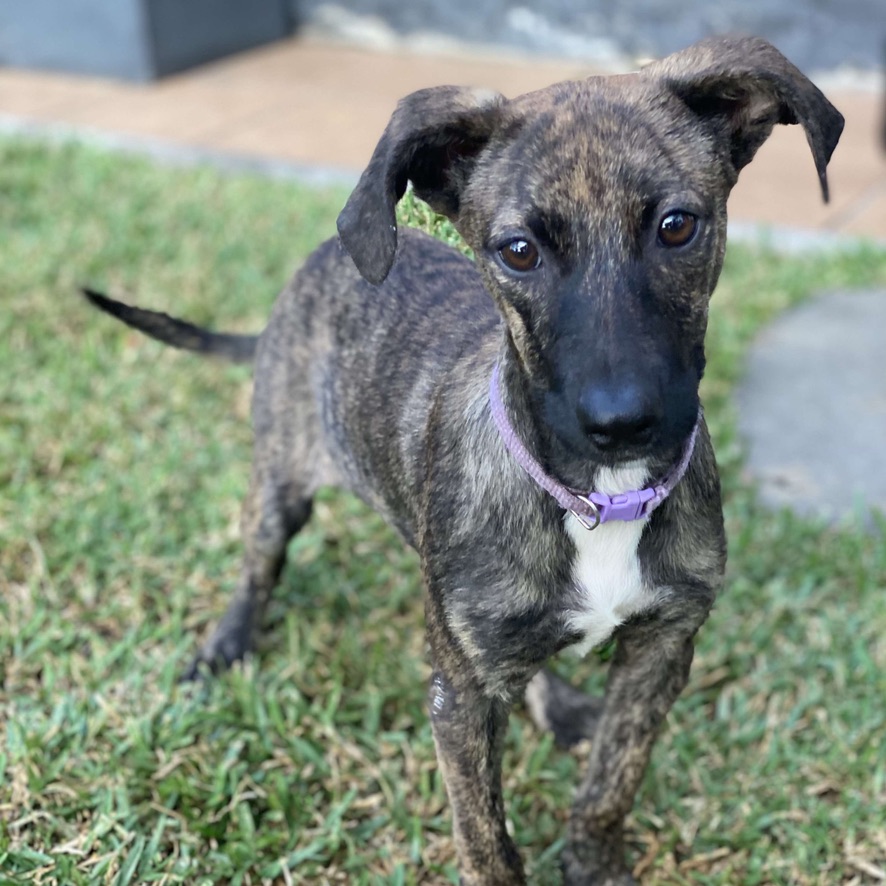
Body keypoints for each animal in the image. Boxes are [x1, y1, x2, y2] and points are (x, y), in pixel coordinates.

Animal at [85, 36, 848, 886]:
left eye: (677, 227)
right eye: (518, 251)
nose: (621, 423)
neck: (598, 501)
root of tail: (319, 263)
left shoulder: (662, 649)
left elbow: (612, 780)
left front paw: (593, 858)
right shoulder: (457, 698)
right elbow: (487, 839)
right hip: (282, 479)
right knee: (259, 561)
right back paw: (225, 646)